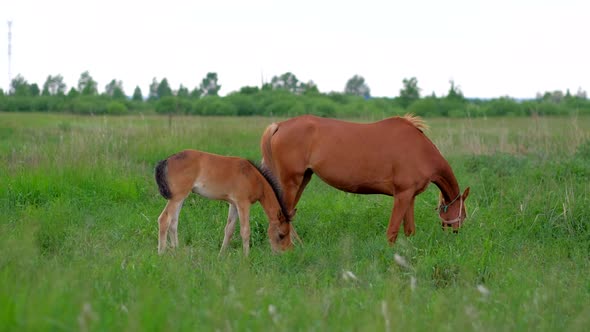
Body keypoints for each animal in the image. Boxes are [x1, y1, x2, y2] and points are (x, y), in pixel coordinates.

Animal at [262, 114, 472, 244]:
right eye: (463, 214)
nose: (457, 234)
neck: (420, 151)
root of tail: (279, 126)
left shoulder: (409, 197)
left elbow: (409, 231)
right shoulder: (402, 195)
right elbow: (392, 232)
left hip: (303, 179)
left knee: (288, 214)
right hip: (291, 182)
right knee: (282, 215)